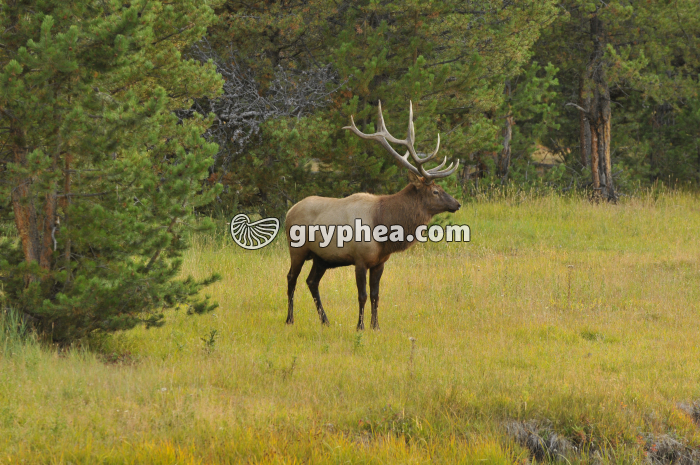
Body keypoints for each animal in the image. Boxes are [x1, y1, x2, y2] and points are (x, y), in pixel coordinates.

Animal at [284, 101, 461, 330]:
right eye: (435, 191)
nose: (457, 203)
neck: (384, 227)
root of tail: (289, 211)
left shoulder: (380, 262)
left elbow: (376, 295)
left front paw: (375, 326)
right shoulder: (359, 259)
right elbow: (362, 295)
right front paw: (359, 326)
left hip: (321, 257)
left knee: (311, 281)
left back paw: (325, 320)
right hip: (297, 249)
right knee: (291, 278)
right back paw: (290, 319)